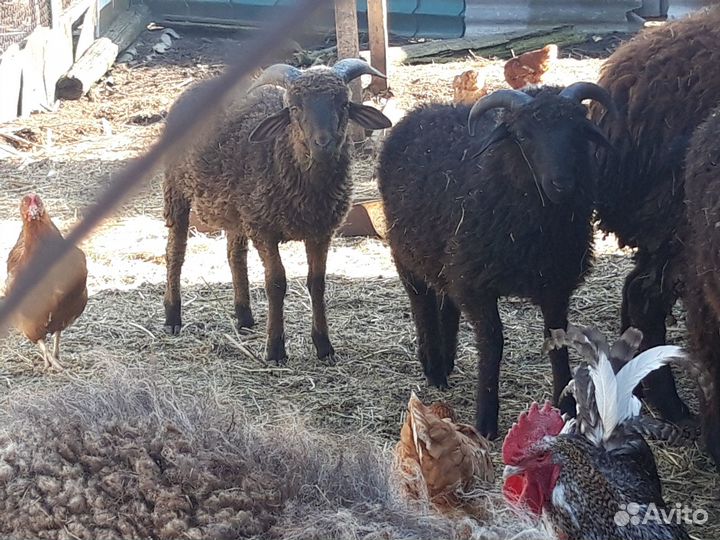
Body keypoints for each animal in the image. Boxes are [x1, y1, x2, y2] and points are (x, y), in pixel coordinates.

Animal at [163, 60, 392, 364]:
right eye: (294, 108)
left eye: (344, 104)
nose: (324, 143)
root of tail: (199, 85)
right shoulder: (264, 230)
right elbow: (276, 283)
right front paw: (275, 349)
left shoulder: (320, 231)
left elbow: (317, 282)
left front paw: (324, 346)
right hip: (176, 189)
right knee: (175, 253)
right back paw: (172, 317)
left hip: (238, 211)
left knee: (235, 256)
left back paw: (244, 317)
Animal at [377, 83, 615, 439]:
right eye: (522, 135)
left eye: (578, 130)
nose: (561, 184)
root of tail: (422, 110)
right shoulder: (478, 285)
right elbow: (492, 345)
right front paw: (486, 419)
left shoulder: (555, 283)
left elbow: (558, 340)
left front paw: (566, 406)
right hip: (405, 251)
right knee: (421, 302)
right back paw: (433, 367)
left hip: (447, 259)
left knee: (446, 300)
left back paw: (446, 361)